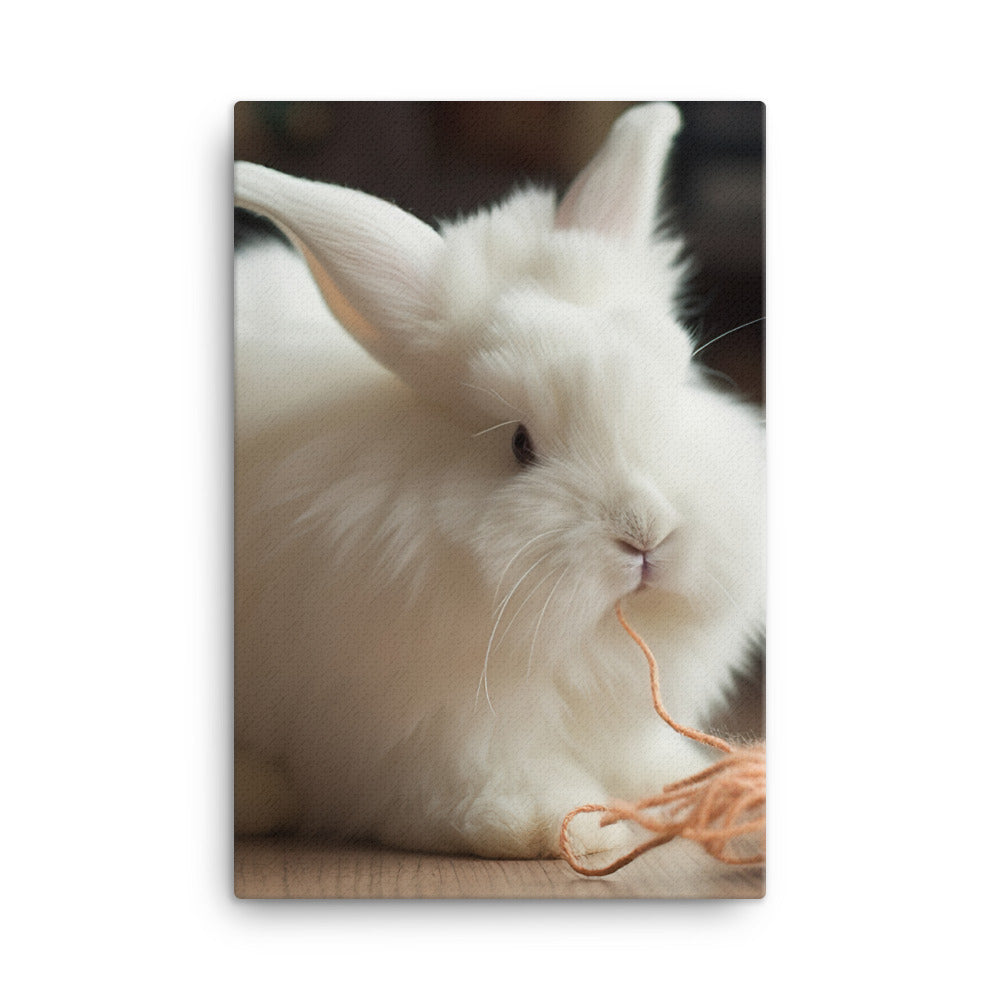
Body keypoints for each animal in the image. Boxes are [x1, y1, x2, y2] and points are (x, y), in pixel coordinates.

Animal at [234, 102, 765, 859]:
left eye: (674, 389)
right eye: (520, 444)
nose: (646, 536)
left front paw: (680, 785)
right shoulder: (432, 728)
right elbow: (484, 786)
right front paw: (563, 822)